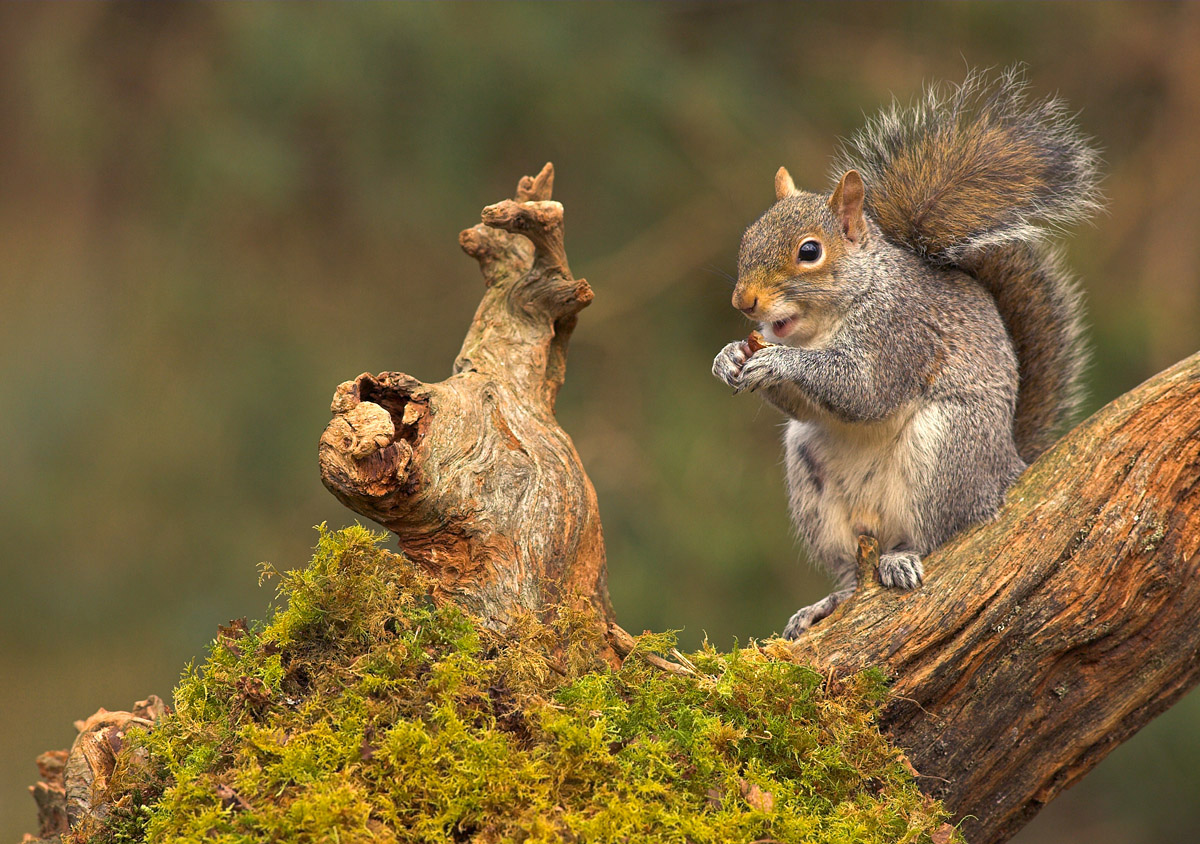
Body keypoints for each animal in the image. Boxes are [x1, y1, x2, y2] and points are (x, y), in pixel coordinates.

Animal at [712, 68, 1101, 638]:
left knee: (944, 534)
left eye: (809, 251)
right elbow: (806, 403)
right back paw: (828, 603)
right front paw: (728, 358)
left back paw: (902, 557)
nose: (743, 302)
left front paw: (781, 362)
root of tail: (1008, 465)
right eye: (748, 236)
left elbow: (865, 390)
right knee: (851, 575)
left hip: (946, 449)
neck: (825, 323)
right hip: (812, 482)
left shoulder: (902, 333)